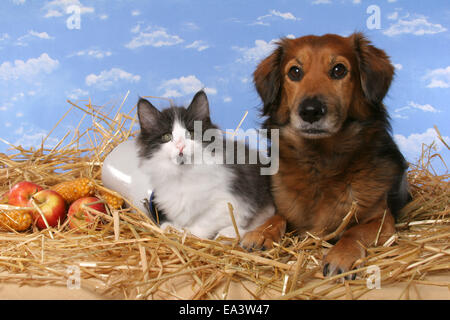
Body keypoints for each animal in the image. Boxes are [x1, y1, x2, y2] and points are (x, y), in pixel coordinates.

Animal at [137, 90, 276, 240]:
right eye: (167, 137)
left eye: (190, 134)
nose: (181, 146)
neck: (183, 174)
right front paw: (173, 227)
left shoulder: (229, 201)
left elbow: (205, 221)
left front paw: (189, 233)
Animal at [243, 32, 412, 278]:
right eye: (295, 72)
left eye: (339, 70)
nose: (310, 111)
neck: (320, 162)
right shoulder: (286, 209)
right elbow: (278, 216)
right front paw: (261, 233)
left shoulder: (382, 220)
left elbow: (354, 232)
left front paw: (342, 256)